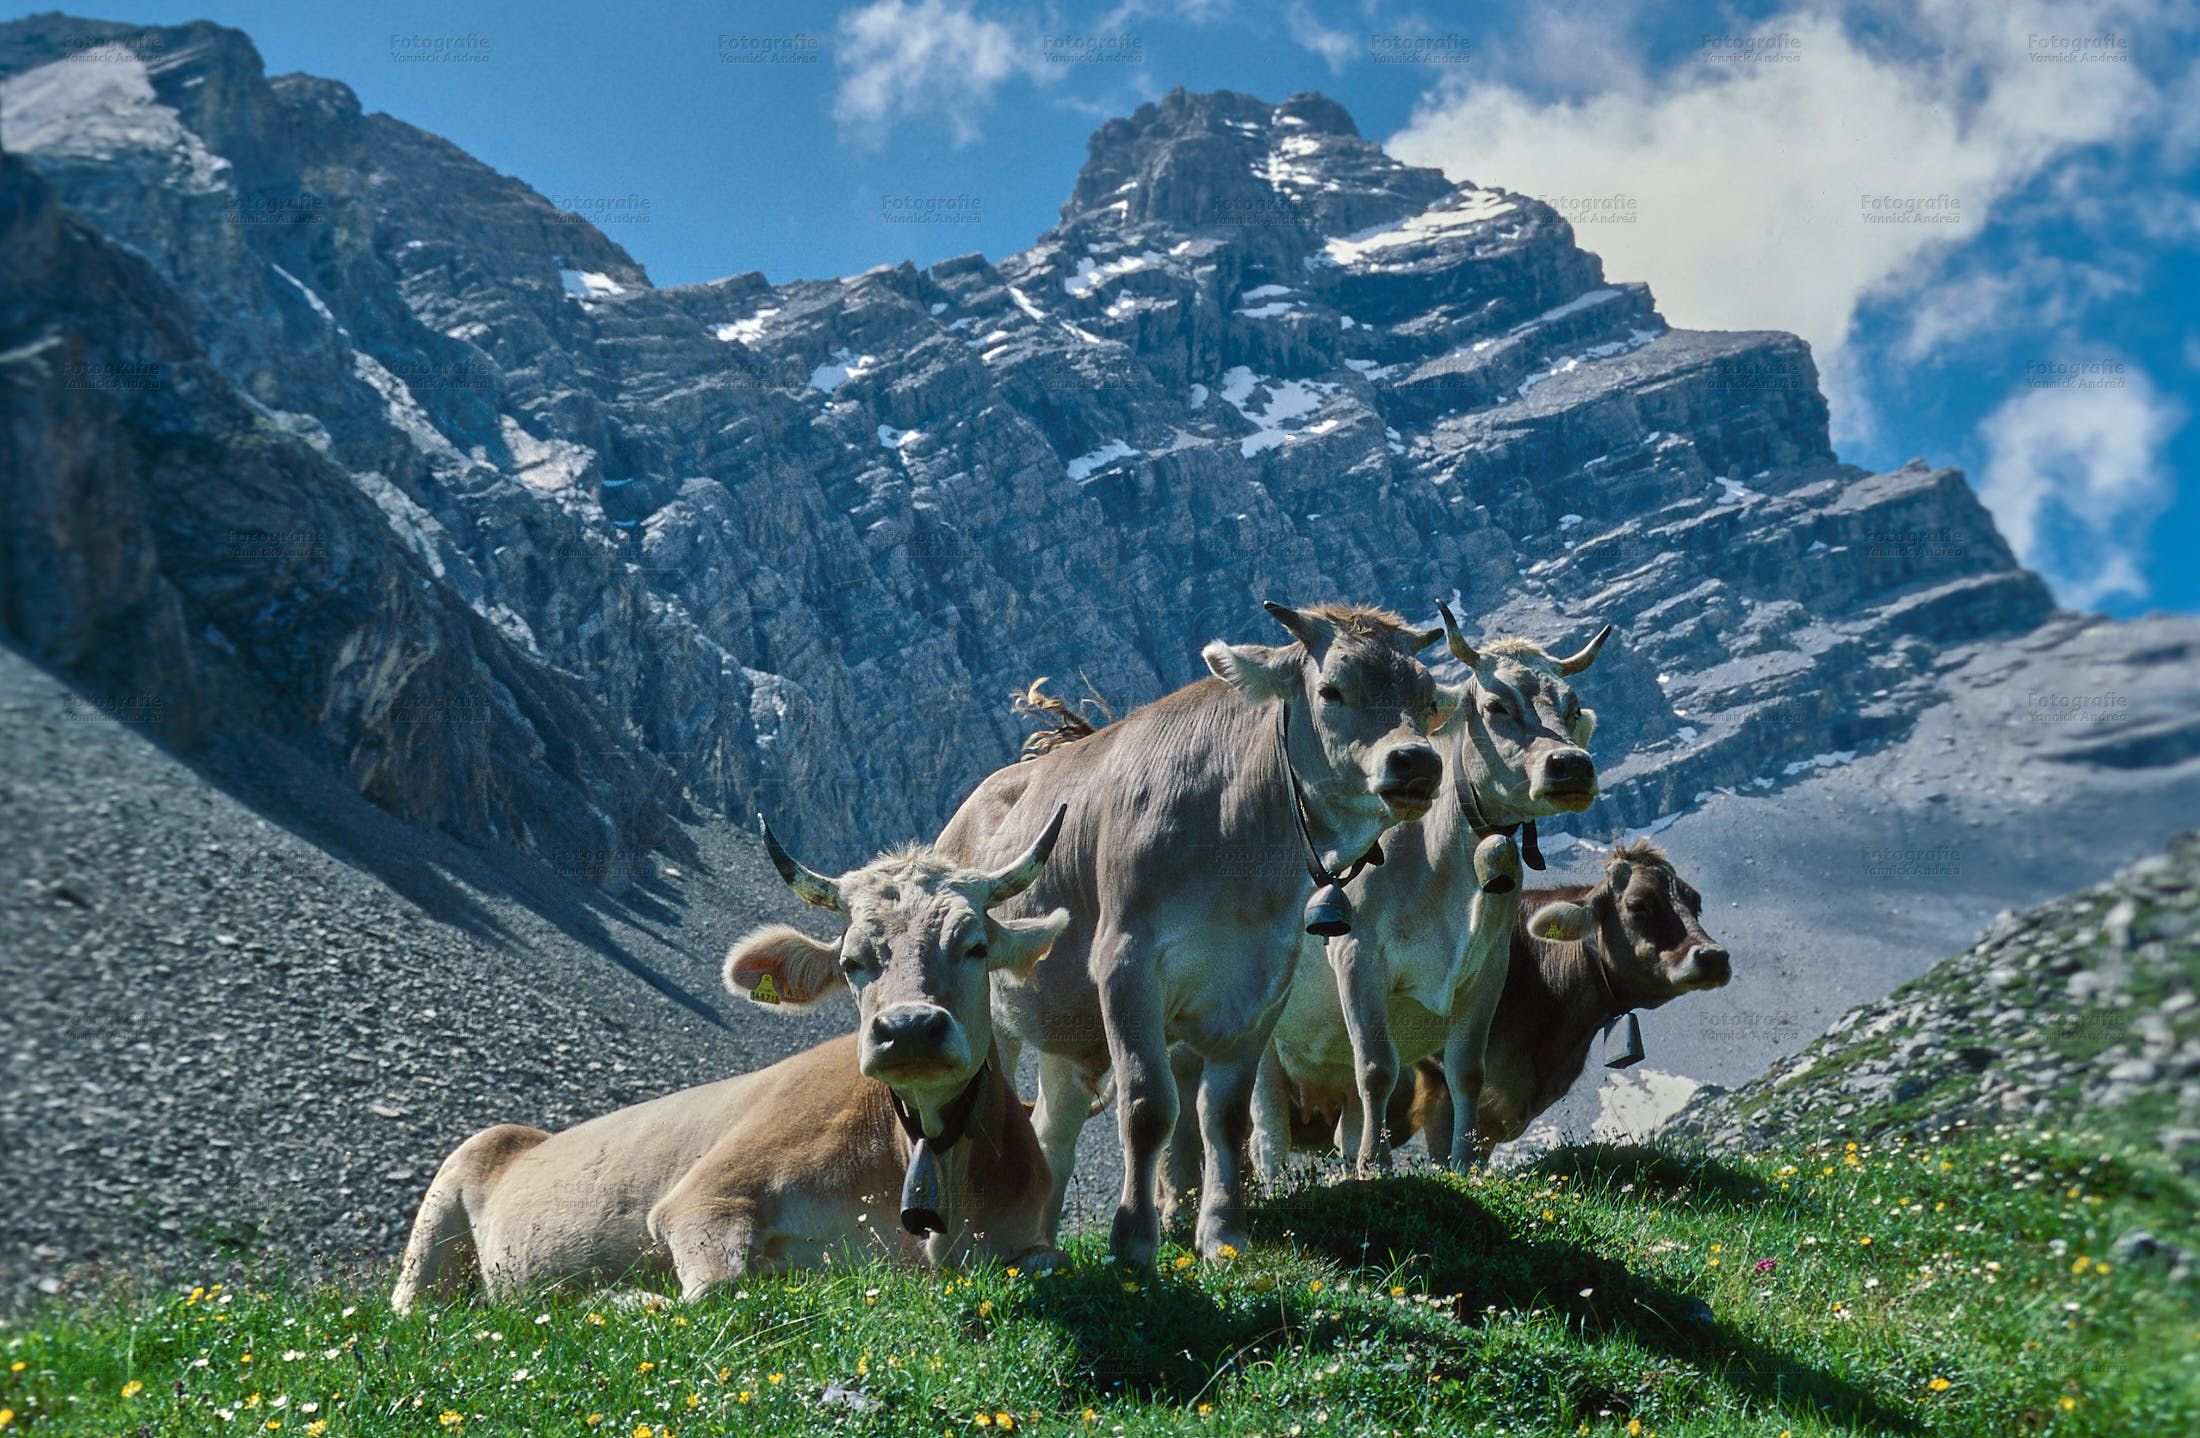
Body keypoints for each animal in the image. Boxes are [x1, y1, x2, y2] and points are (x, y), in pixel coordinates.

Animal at [398, 809, 1082, 1319]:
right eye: (853, 961)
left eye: (975, 947)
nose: (910, 1028)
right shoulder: (703, 1198)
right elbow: (719, 1291)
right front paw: (626, 1298)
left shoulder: (1029, 1238)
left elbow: (1055, 1261)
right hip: (438, 1225)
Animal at [937, 606, 1452, 1275]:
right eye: (1333, 690)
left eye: (1426, 697)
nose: (1417, 763)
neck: (1235, 851)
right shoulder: (1126, 964)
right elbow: (1149, 1106)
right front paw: (1134, 1240)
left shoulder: (1263, 984)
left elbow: (1225, 1115)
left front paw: (1224, 1234)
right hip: (988, 1018)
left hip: (1064, 1036)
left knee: (1053, 1129)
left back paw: (1039, 1243)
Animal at [1249, 615, 1610, 1187]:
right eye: (1497, 705)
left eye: (1572, 706)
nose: (1572, 765)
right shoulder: (1356, 954)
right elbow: (1377, 1068)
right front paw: (1377, 1165)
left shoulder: (1488, 968)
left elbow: (1467, 1072)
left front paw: (1462, 1164)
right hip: (1262, 1043)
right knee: (1266, 1131)